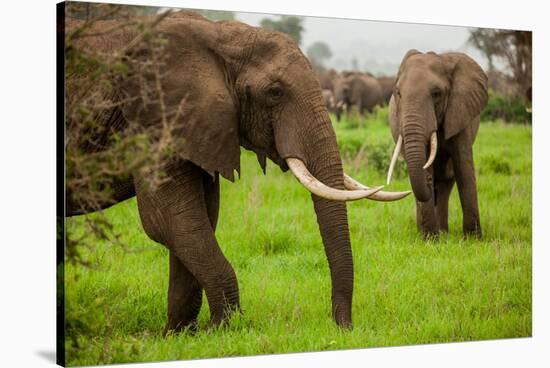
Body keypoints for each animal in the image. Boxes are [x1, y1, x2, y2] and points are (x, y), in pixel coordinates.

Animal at [66, 11, 410, 334]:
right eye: (274, 92)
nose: (344, 327)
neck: (219, 37)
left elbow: (199, 218)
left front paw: (180, 334)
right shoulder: (152, 120)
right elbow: (169, 221)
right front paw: (219, 329)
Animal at [388, 50, 488, 237]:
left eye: (436, 94)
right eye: (398, 94)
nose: (428, 182)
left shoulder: (460, 112)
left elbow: (464, 169)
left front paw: (473, 239)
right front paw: (429, 239)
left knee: (446, 182)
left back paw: (444, 233)